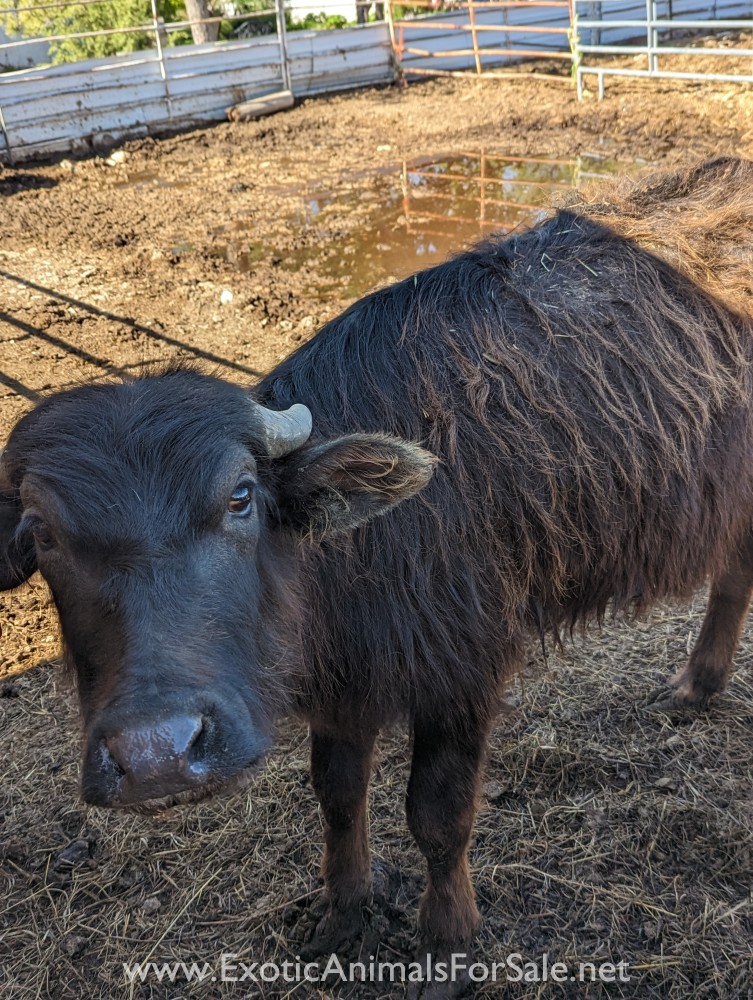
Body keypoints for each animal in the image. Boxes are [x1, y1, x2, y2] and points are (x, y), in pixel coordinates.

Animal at [2, 157, 753, 997]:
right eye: (42, 534)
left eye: (239, 497)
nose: (156, 754)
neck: (348, 559)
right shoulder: (343, 689)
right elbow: (335, 795)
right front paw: (344, 909)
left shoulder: (461, 674)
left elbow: (438, 815)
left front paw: (447, 945)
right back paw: (698, 682)